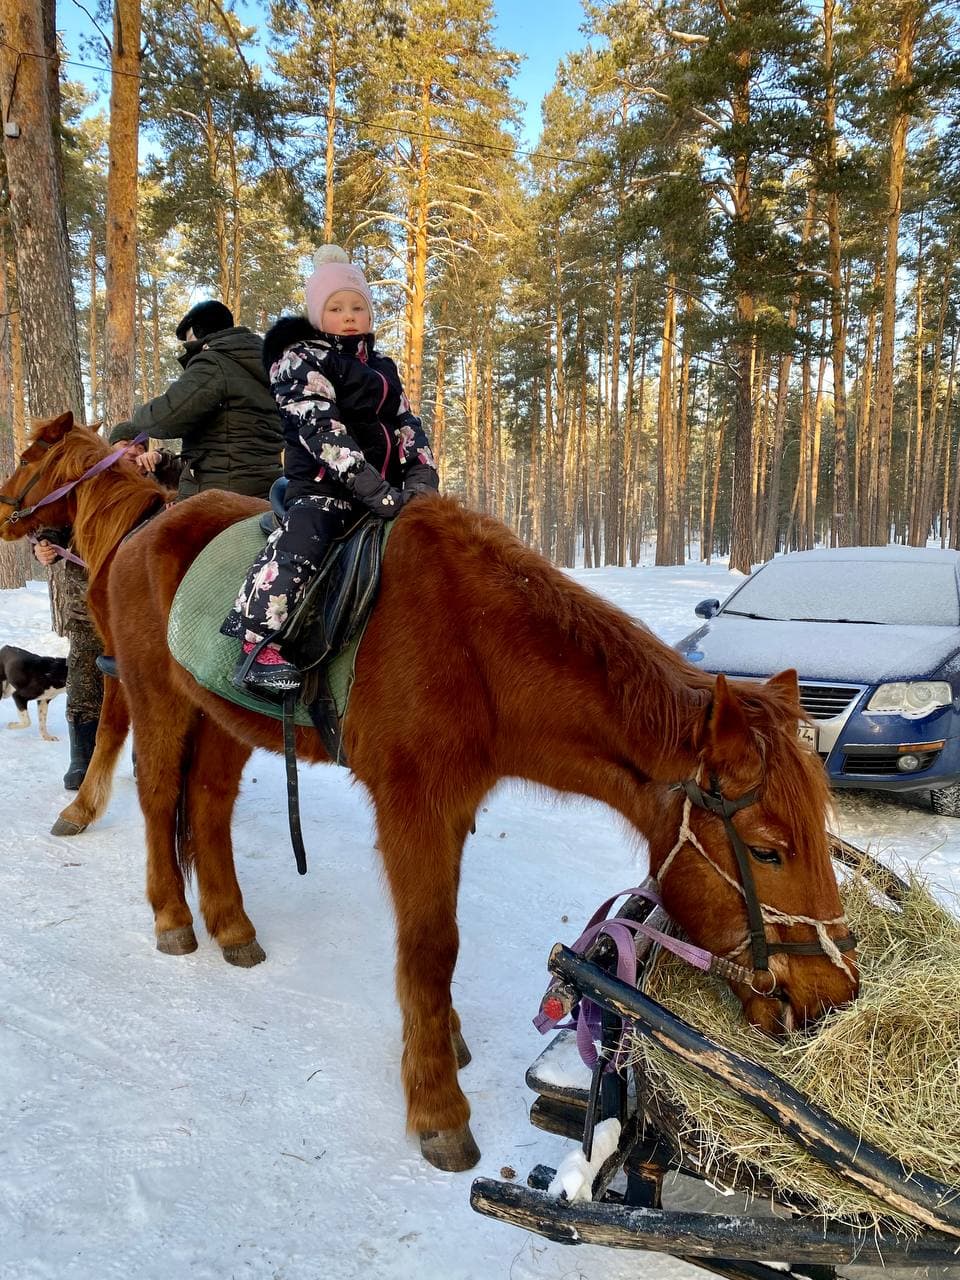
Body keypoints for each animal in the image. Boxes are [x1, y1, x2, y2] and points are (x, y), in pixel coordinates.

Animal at [0, 414, 855, 1172]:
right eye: (769, 852)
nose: (834, 994)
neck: (479, 649)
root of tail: (146, 531)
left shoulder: (453, 808)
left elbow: (436, 939)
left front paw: (442, 1039)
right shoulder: (414, 806)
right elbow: (431, 946)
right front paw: (437, 1103)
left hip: (221, 719)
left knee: (205, 806)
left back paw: (231, 925)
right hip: (155, 694)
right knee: (155, 798)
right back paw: (173, 918)